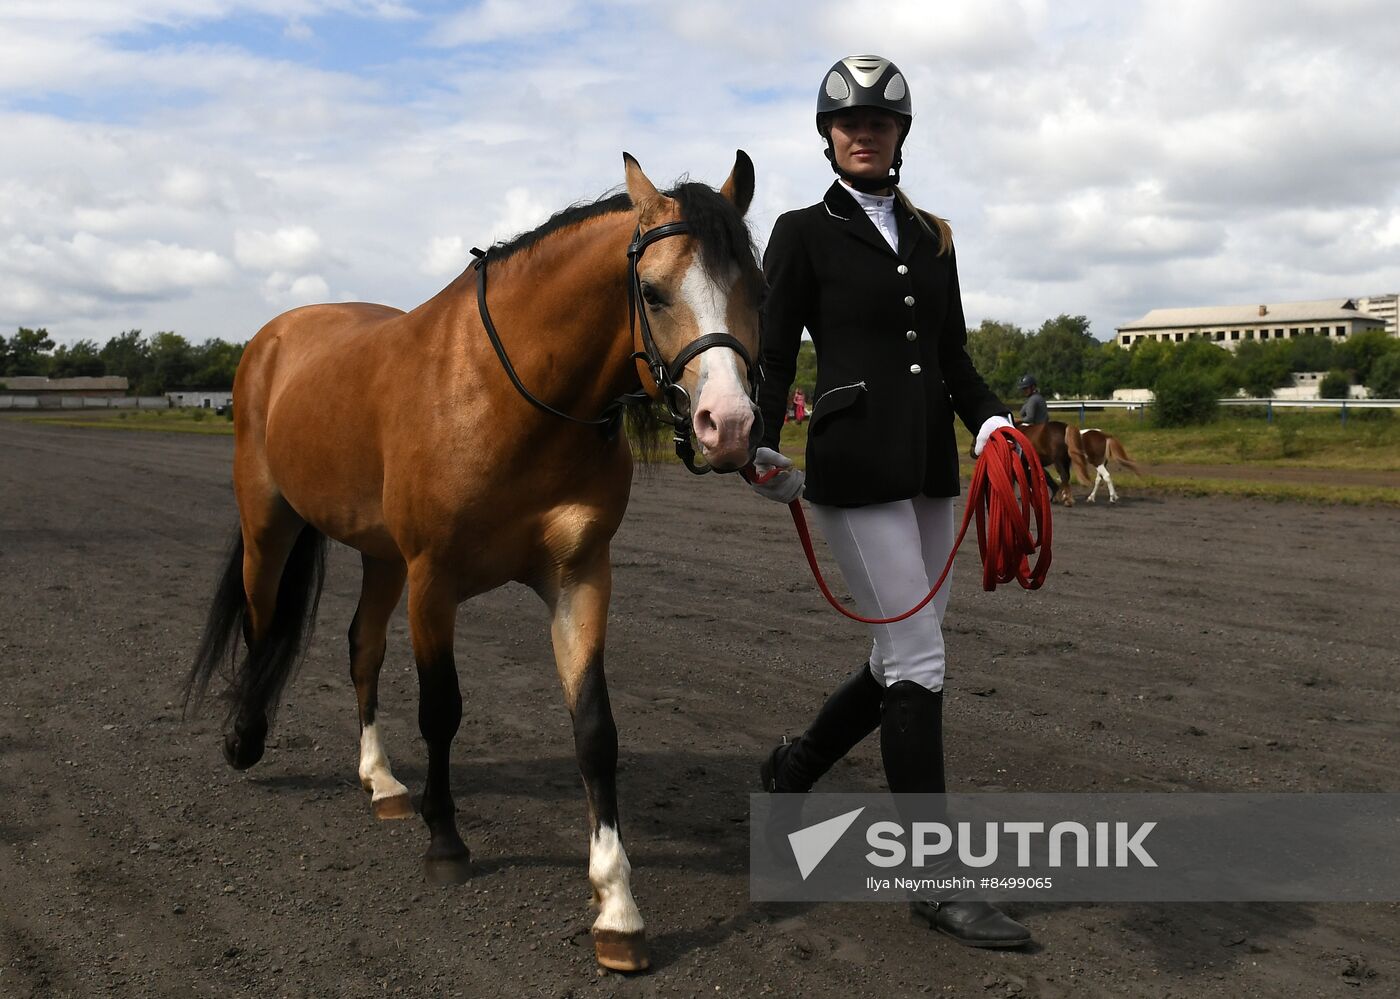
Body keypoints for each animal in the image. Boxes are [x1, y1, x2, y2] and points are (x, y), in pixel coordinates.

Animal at [187, 155, 767, 973]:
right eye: (653, 291)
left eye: (758, 289)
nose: (730, 426)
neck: (512, 394)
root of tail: (274, 337)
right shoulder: (435, 580)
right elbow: (442, 708)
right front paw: (446, 841)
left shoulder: (580, 575)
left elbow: (595, 730)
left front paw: (617, 906)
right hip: (270, 522)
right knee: (262, 620)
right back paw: (245, 737)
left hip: (379, 556)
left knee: (361, 649)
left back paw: (380, 780)